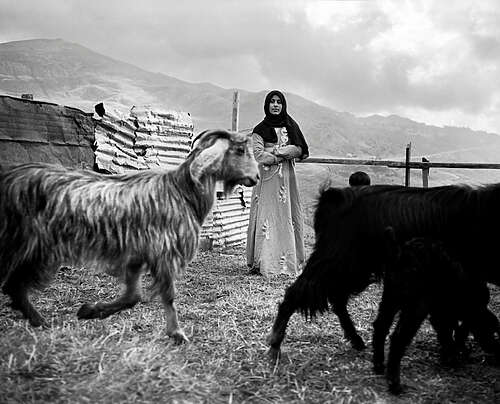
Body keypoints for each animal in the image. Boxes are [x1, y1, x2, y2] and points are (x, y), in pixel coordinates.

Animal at [0, 129, 258, 344]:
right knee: (13, 285)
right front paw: (177, 333)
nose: (255, 177)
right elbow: (168, 295)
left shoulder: (137, 255)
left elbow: (133, 296)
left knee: (13, 286)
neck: (181, 191)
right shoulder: (163, 251)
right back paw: (40, 321)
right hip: (29, 245)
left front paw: (90, 311)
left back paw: (40, 322)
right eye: (240, 150)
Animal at [268, 183, 500, 360]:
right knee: (298, 292)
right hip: (336, 260)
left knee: (336, 298)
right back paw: (275, 344)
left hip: (354, 269)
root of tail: (335, 196)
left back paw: (356, 340)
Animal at [376, 227, 500, 394]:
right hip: (416, 305)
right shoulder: (449, 313)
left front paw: (451, 353)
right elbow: (455, 331)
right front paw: (454, 355)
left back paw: (378, 365)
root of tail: (401, 254)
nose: (494, 348)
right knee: (398, 338)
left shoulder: (441, 313)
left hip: (390, 297)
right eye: (491, 332)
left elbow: (449, 331)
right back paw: (394, 382)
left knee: (380, 326)